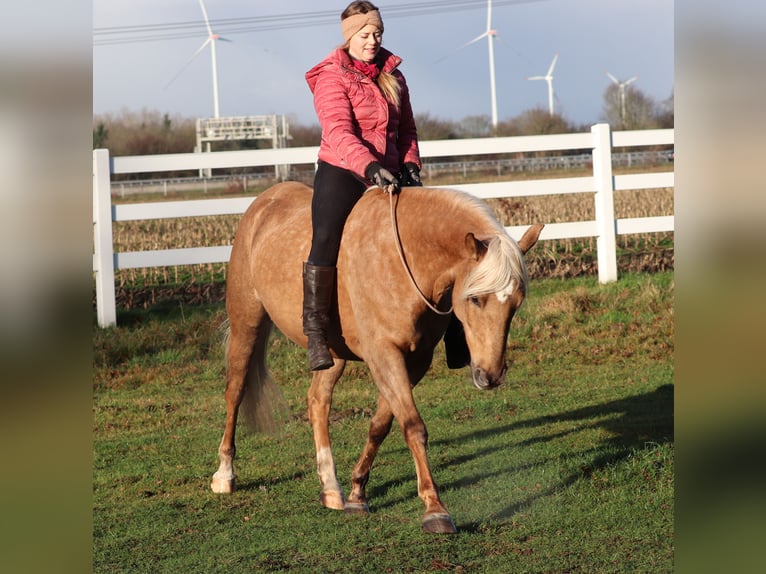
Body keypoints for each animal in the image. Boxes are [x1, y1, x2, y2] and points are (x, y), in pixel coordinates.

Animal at [212, 183, 544, 536]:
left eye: (516, 303)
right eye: (476, 299)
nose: (490, 375)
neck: (405, 259)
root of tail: (265, 201)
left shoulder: (415, 360)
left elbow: (381, 425)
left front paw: (358, 493)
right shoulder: (384, 354)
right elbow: (413, 426)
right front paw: (435, 509)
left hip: (332, 354)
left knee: (318, 401)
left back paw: (331, 487)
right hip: (247, 323)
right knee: (235, 391)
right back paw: (225, 475)